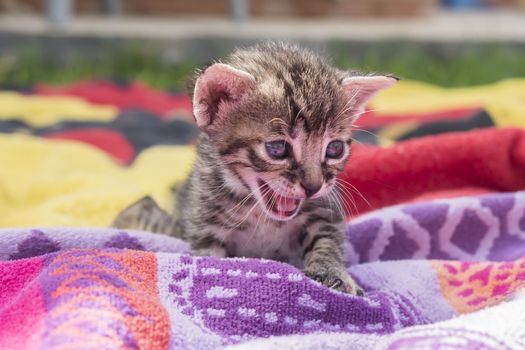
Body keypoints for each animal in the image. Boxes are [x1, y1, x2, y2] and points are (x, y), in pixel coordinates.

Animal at [112, 43, 396, 296]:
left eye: (334, 149)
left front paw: (331, 272)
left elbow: (327, 241)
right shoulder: (204, 223)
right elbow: (209, 257)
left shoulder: (326, 208)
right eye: (278, 148)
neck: (264, 217)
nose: (313, 187)